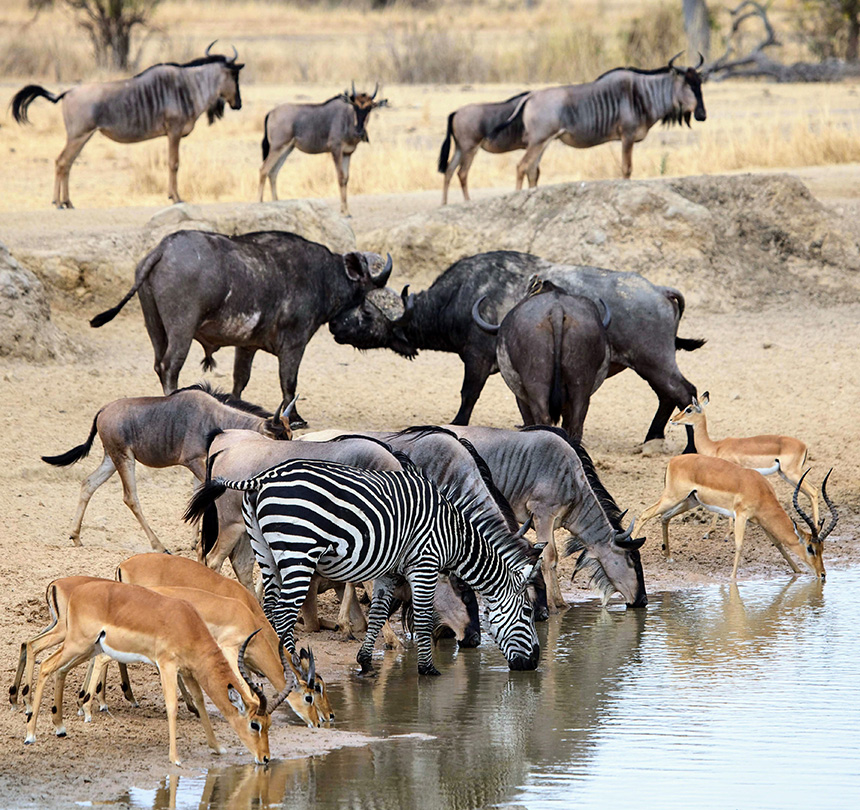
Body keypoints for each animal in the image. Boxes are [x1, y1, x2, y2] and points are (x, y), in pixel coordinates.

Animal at [90, 229, 394, 422]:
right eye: (365, 301)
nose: (342, 327)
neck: (323, 277)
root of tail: (164, 248)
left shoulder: (246, 346)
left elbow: (240, 379)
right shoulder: (294, 344)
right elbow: (289, 383)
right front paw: (295, 418)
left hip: (154, 326)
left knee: (157, 364)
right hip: (181, 328)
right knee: (169, 367)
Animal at [188, 454, 540, 676]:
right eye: (528, 611)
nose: (535, 662)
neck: (453, 535)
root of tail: (261, 478)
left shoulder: (389, 571)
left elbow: (378, 613)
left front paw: (366, 663)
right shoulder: (424, 564)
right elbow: (424, 617)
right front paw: (427, 669)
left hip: (266, 551)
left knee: (270, 605)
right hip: (299, 549)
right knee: (285, 611)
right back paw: (291, 665)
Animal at [330, 249, 704, 446]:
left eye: (365, 311)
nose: (334, 324)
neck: (460, 296)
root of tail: (658, 290)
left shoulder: (477, 359)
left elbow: (468, 396)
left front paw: (456, 422)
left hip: (654, 360)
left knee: (685, 392)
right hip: (647, 366)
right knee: (668, 396)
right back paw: (652, 438)